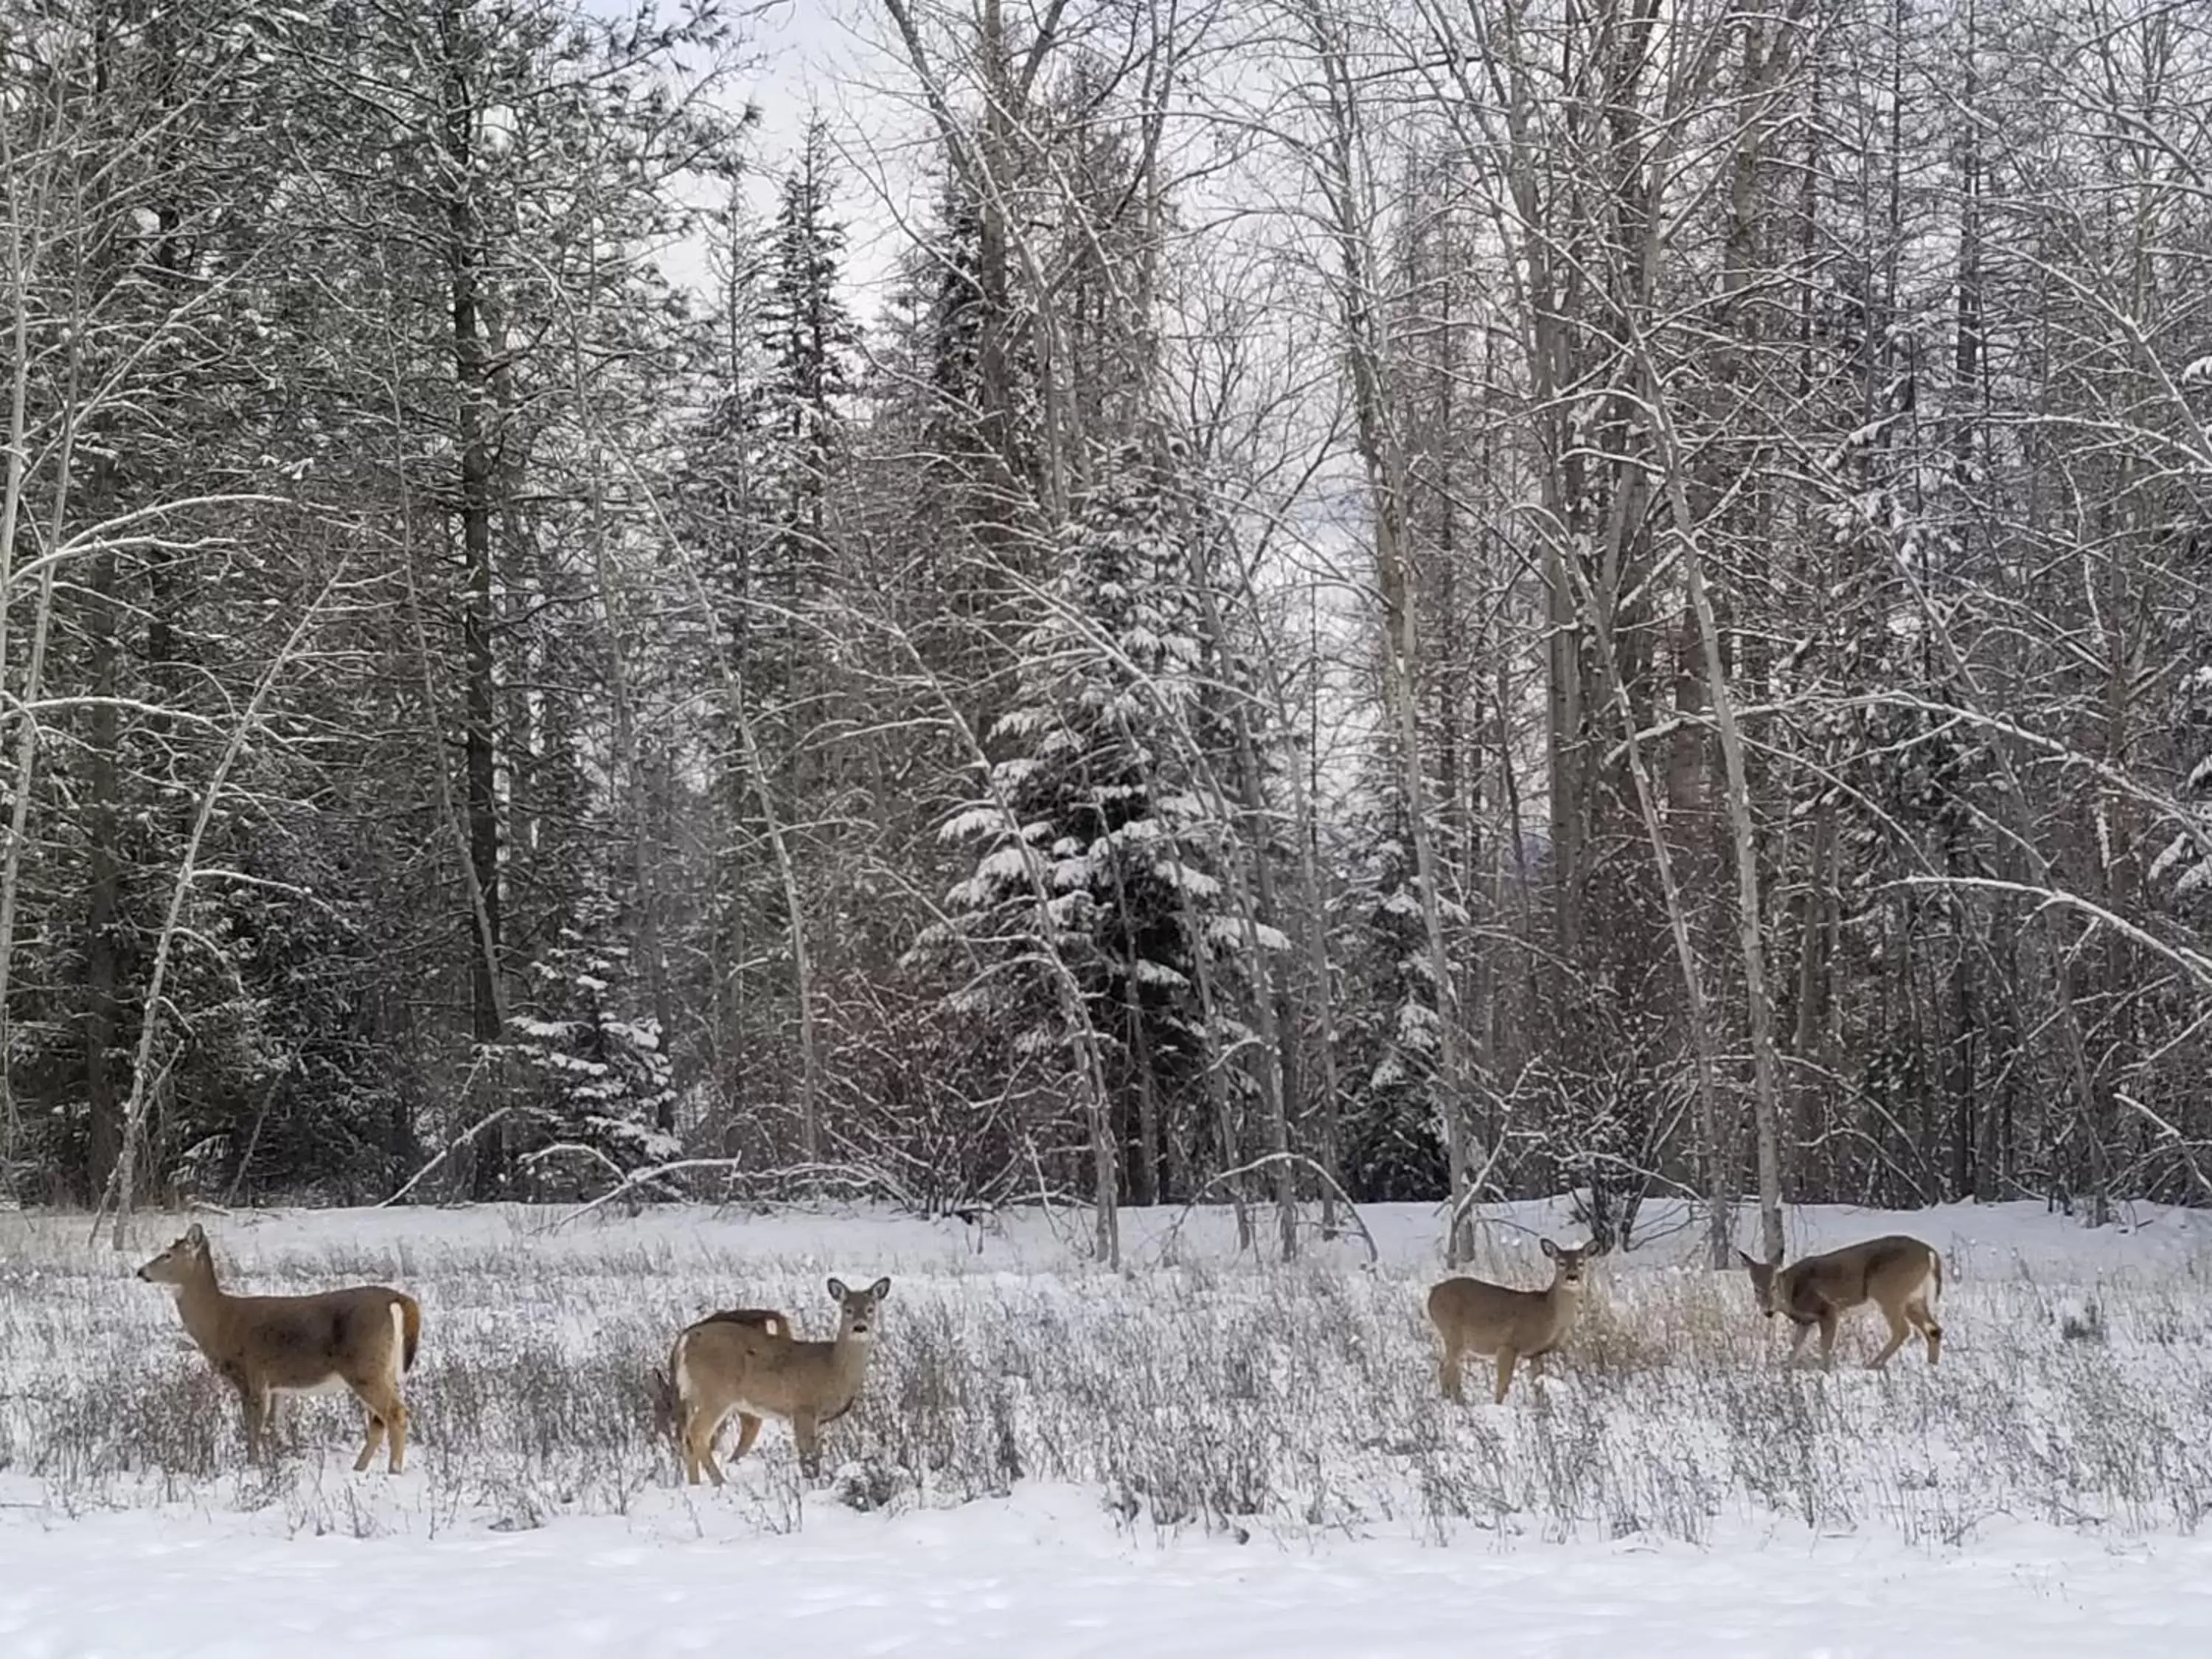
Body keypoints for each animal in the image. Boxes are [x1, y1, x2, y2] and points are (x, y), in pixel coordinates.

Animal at [135, 1230, 422, 1478]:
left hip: (364, 1366)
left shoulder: (252, 1374)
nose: (140, 1271)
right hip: (382, 1368)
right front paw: (276, 1460)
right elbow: (275, 1426)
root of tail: (396, 1298)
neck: (220, 1322)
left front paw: (252, 1464)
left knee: (396, 1413)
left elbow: (253, 1427)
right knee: (379, 1420)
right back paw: (358, 1469)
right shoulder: (278, 1385)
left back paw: (394, 1470)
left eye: (168, 1254)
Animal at [664, 1283, 889, 1486]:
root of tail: (684, 1341)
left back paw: (695, 1485)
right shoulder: (803, 1407)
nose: (860, 1327)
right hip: (715, 1392)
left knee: (686, 1439)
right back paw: (721, 1482)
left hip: (691, 1395)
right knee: (697, 1434)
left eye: (871, 1308)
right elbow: (808, 1456)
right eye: (848, 1309)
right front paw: (812, 1483)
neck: (832, 1367)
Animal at [1425, 1239, 1601, 1407]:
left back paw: (1448, 1400)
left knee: (1443, 1366)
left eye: (1581, 1262)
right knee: (1450, 1370)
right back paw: (1460, 1405)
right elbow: (1503, 1384)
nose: (1572, 1277)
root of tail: (1432, 1293)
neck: (1548, 1313)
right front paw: (1498, 1408)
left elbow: (1538, 1383)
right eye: (1561, 1262)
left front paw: (1540, 1408)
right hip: (1453, 1332)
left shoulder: (1535, 1353)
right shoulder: (1508, 1344)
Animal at [1734, 1239, 1947, 1380]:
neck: (1793, 1292)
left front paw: (1825, 1372)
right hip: (1914, 1299)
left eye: (1773, 1286)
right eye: (1756, 1288)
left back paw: (1872, 1365)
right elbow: (1796, 1348)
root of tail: (1931, 1254)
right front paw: (1784, 1370)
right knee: (1934, 1329)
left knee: (1903, 1330)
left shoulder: (1828, 1309)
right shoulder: (1806, 1321)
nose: (1768, 1311)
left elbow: (1825, 1346)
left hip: (1889, 1291)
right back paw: (1932, 1368)